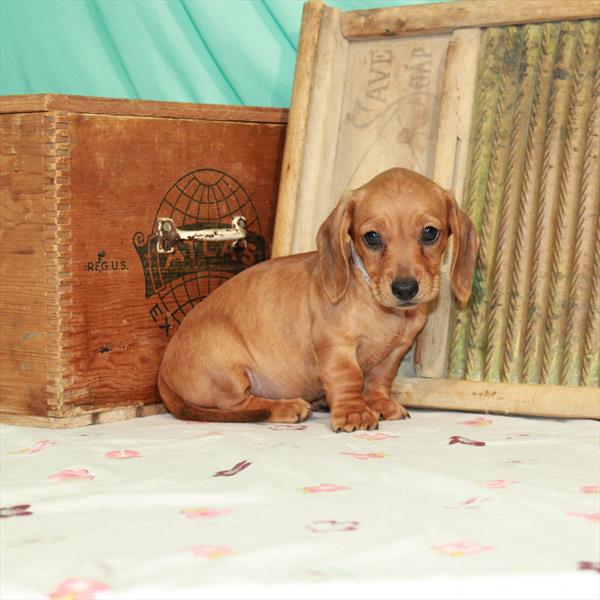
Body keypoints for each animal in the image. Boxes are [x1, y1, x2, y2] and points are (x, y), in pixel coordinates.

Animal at [157, 168, 476, 432]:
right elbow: (349, 378)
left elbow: (378, 379)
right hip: (228, 369)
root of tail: (164, 379)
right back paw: (287, 407)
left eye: (430, 233)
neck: (377, 304)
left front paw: (378, 403)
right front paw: (353, 412)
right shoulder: (337, 347)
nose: (405, 288)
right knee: (243, 406)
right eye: (371, 237)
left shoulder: (396, 351)